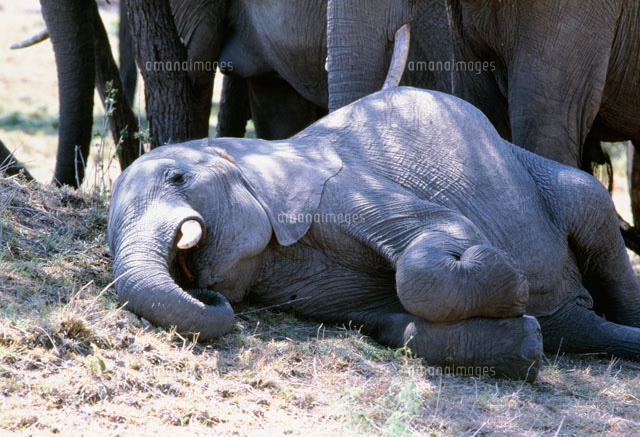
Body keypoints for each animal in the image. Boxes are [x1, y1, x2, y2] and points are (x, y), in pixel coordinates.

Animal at [108, 87, 640, 382]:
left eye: (177, 178)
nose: (204, 291)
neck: (252, 152)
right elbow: (391, 324)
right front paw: (525, 341)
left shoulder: (338, 189)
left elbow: (442, 234)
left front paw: (511, 283)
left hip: (557, 184)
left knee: (591, 207)